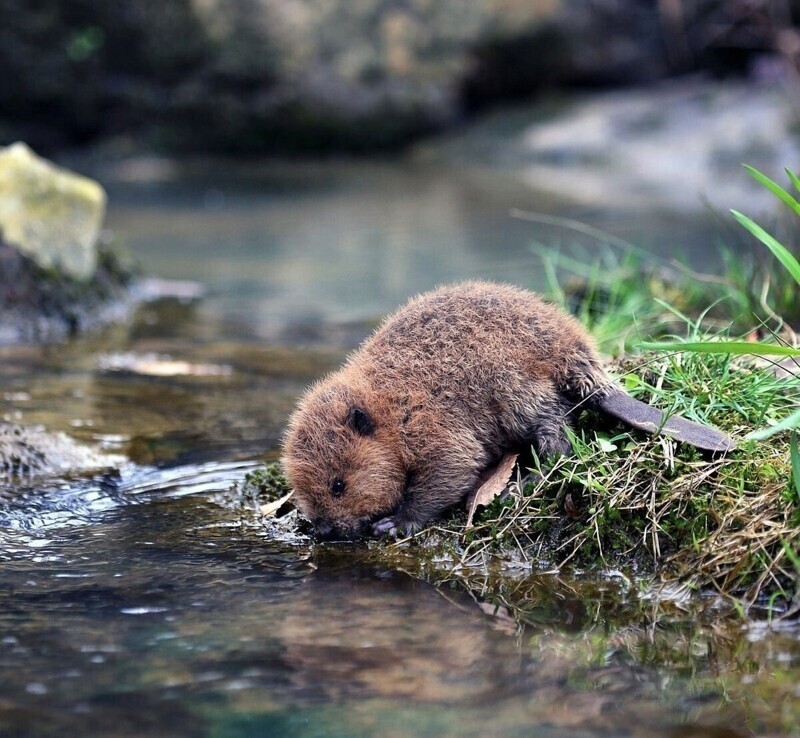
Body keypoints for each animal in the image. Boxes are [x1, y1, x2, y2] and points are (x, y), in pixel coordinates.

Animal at [282, 278, 736, 536]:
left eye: (338, 485)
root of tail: (586, 364)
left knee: (558, 439)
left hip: (516, 389)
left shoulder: (431, 424)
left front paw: (394, 524)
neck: (389, 404)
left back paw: (522, 484)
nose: (323, 531)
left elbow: (452, 468)